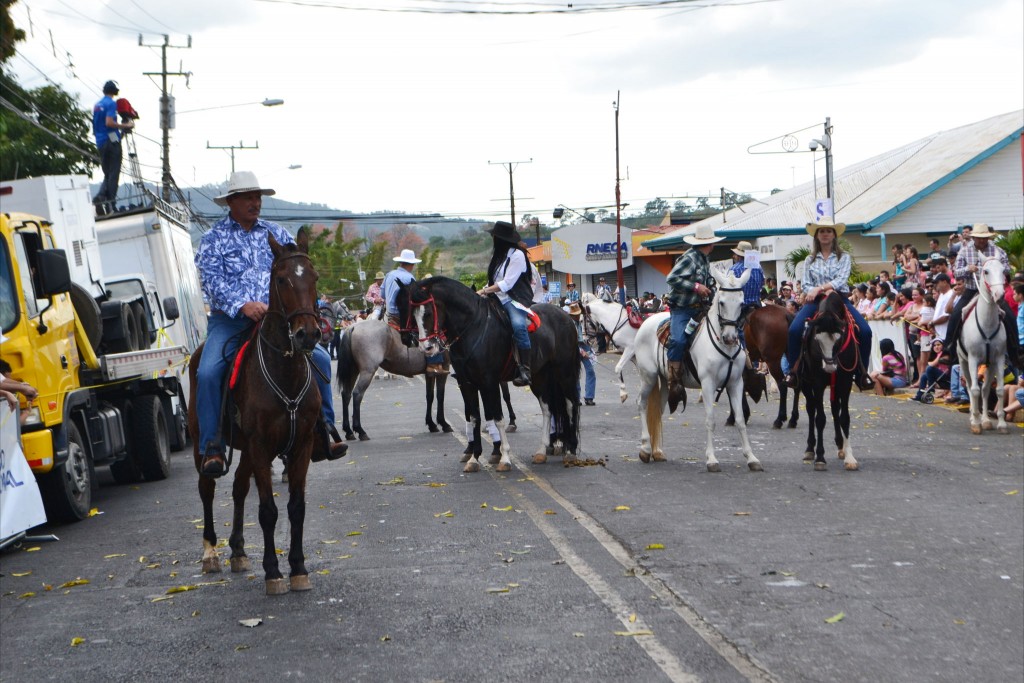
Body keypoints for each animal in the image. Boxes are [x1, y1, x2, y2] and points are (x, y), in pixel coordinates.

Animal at [188, 228, 321, 593]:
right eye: (281, 279)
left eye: (314, 276)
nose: (307, 334)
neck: (284, 371)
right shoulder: (261, 446)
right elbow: (267, 511)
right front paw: (273, 572)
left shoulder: (301, 445)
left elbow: (296, 507)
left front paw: (298, 568)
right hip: (203, 444)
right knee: (207, 488)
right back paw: (210, 554)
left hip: (246, 449)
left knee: (238, 488)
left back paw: (237, 551)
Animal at [395, 274, 581, 473]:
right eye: (412, 313)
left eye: (428, 313)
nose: (426, 347)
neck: (472, 328)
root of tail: (564, 316)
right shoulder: (467, 383)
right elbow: (474, 417)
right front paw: (474, 458)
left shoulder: (489, 382)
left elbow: (497, 418)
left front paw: (504, 457)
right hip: (540, 376)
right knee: (547, 409)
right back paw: (542, 451)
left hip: (564, 372)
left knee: (571, 405)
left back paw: (571, 450)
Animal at [626, 268, 765, 475]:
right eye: (722, 302)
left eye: (741, 303)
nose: (730, 337)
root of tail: (646, 321)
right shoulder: (707, 384)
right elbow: (710, 420)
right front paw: (712, 459)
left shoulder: (735, 383)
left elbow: (740, 420)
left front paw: (752, 458)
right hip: (648, 376)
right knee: (641, 404)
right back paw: (645, 449)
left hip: (664, 379)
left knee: (657, 411)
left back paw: (657, 452)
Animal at [794, 290, 860, 473]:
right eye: (817, 340)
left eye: (840, 337)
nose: (830, 367)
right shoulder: (817, 382)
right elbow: (820, 419)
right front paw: (820, 458)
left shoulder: (845, 382)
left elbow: (844, 417)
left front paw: (850, 458)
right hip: (805, 383)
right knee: (811, 410)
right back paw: (810, 449)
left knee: (835, 409)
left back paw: (840, 446)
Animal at [958, 255, 1007, 438]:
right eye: (985, 271)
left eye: (1003, 270)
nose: (999, 295)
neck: (987, 324)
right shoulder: (972, 359)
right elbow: (974, 390)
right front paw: (976, 424)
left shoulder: (999, 359)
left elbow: (999, 390)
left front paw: (1001, 424)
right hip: (963, 361)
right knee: (970, 386)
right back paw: (975, 417)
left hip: (989, 365)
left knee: (986, 389)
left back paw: (986, 420)